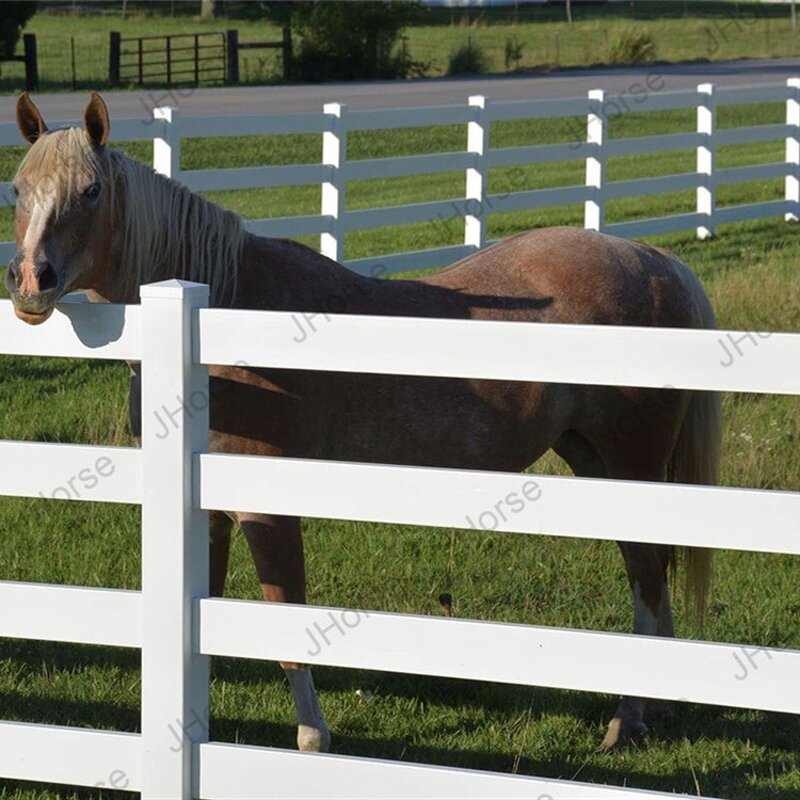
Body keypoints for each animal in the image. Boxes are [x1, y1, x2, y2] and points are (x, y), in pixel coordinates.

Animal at [7, 92, 721, 754]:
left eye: (92, 190)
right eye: (17, 187)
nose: (30, 281)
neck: (220, 316)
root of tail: (651, 259)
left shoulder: (268, 510)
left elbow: (286, 625)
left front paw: (312, 739)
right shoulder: (207, 515)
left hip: (629, 460)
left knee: (648, 576)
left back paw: (627, 719)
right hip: (598, 462)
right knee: (648, 569)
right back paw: (656, 708)